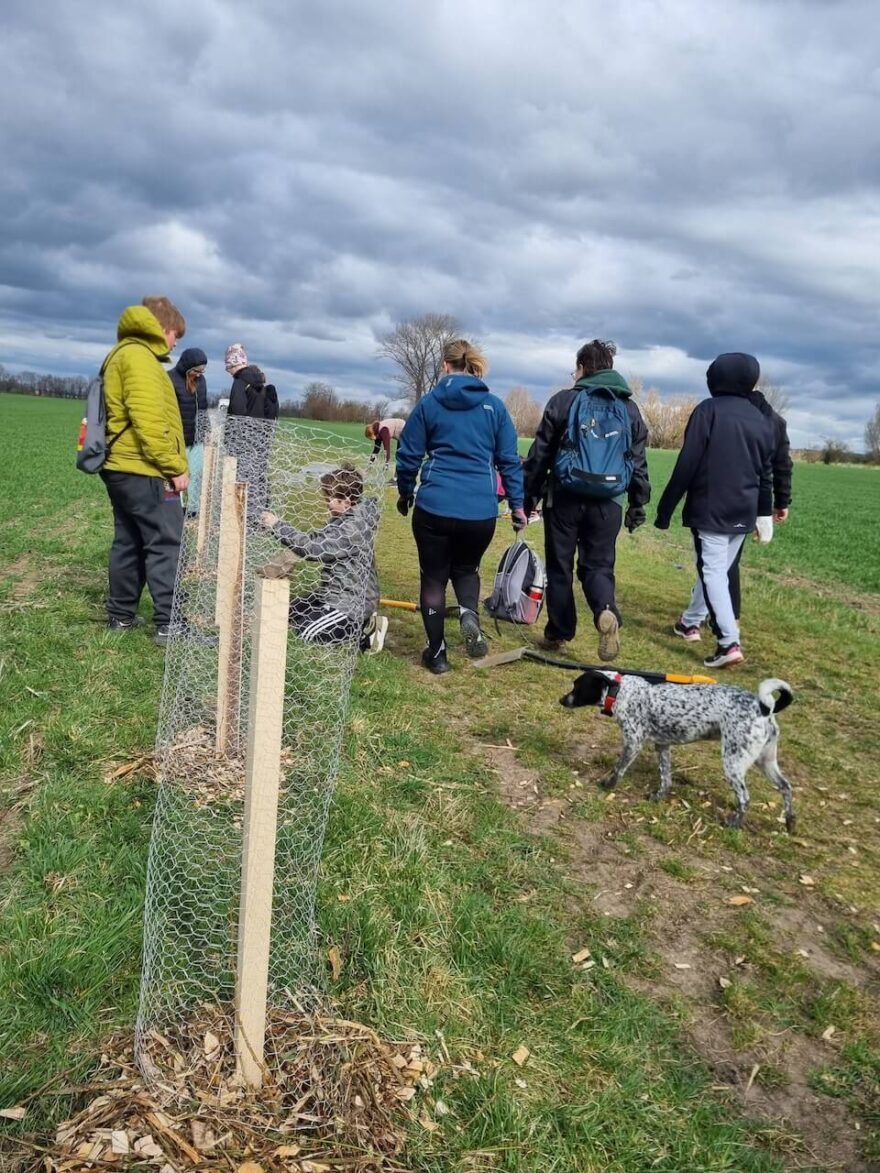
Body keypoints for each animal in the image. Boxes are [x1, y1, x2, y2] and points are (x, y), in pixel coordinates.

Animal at [565, 675, 797, 830]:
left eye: (577, 687)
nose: (562, 700)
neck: (621, 691)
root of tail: (764, 708)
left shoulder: (633, 743)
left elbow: (618, 769)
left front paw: (607, 785)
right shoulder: (662, 746)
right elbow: (665, 778)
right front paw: (658, 796)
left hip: (733, 762)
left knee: (745, 797)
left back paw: (734, 823)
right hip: (765, 761)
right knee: (786, 787)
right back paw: (789, 821)